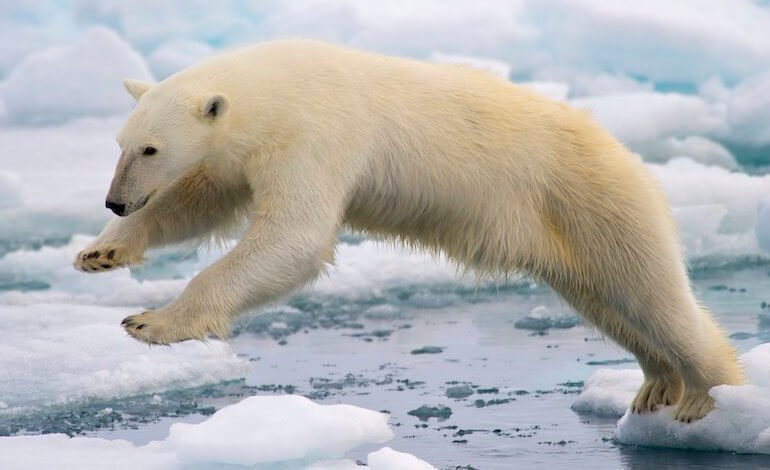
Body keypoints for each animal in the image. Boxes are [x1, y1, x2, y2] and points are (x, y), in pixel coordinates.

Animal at [73, 39, 742, 422]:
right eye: (121, 143)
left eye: (151, 148)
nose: (114, 200)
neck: (276, 86)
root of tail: (627, 155)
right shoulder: (245, 151)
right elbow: (201, 200)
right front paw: (101, 252)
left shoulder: (317, 132)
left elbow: (294, 236)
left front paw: (151, 322)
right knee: (609, 302)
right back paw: (656, 385)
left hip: (592, 200)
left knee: (652, 294)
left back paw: (707, 396)